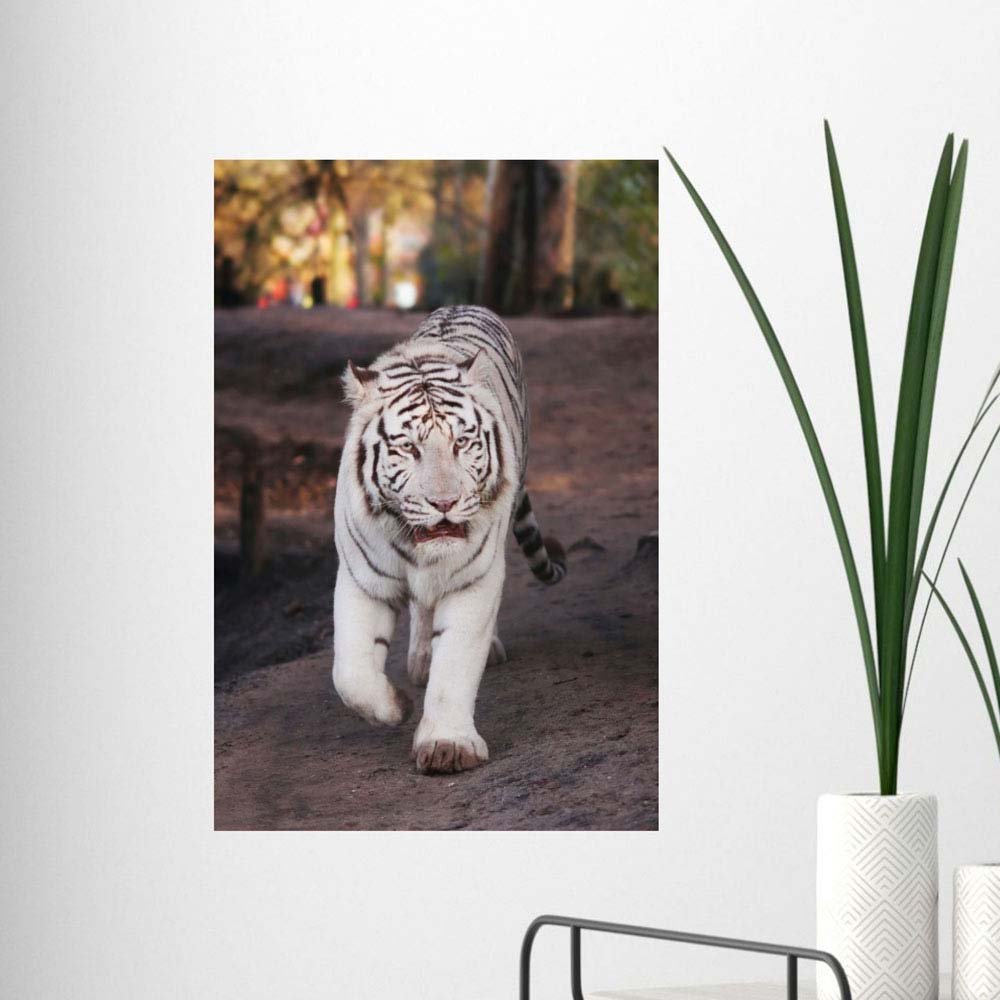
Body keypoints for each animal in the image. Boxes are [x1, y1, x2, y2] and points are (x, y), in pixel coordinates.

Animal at [332, 305, 566, 774]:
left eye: (462, 443)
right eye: (408, 448)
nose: (445, 503)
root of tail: (463, 305)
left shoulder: (472, 580)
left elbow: (456, 662)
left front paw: (448, 746)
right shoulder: (362, 580)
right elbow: (350, 673)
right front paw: (396, 705)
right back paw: (420, 663)